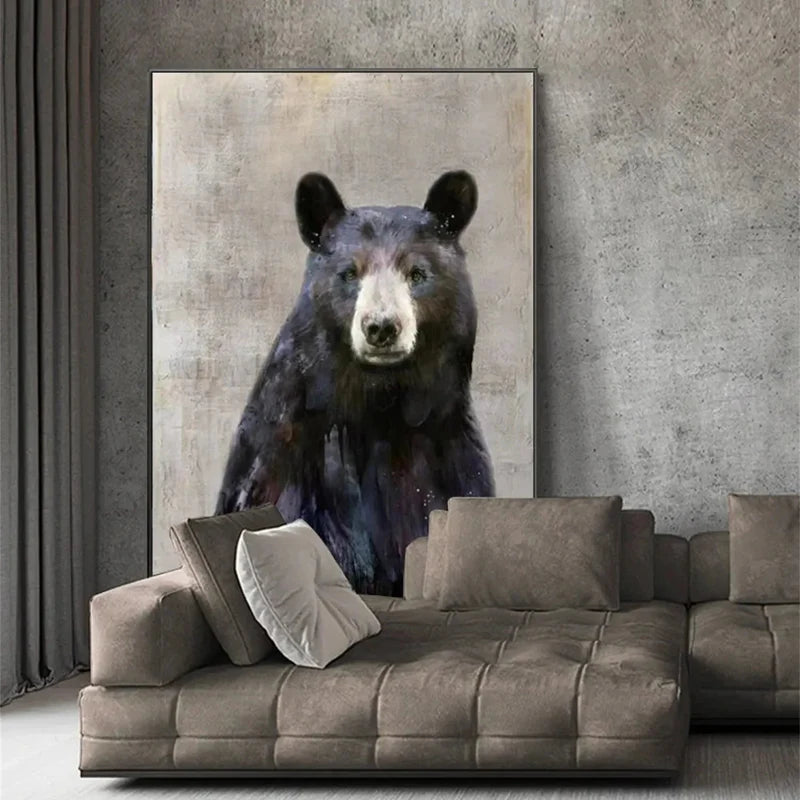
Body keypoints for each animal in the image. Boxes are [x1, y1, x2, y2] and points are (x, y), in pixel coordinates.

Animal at [216, 171, 495, 595]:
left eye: (417, 273)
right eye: (349, 272)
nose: (381, 327)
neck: (378, 401)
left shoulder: (448, 454)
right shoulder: (276, 456)